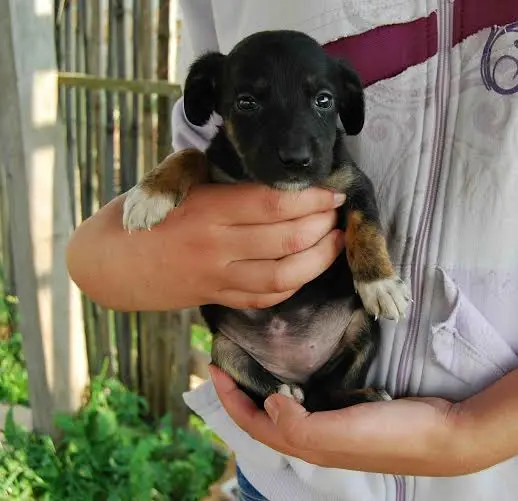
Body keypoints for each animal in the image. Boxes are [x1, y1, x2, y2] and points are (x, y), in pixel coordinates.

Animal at [123, 32, 410, 414]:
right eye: (246, 103)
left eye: (324, 100)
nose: (296, 160)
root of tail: (297, 371)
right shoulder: (216, 168)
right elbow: (190, 153)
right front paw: (150, 192)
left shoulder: (353, 183)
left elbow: (366, 228)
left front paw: (380, 283)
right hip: (224, 348)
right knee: (289, 391)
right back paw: (283, 391)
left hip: (361, 329)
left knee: (325, 394)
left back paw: (362, 396)